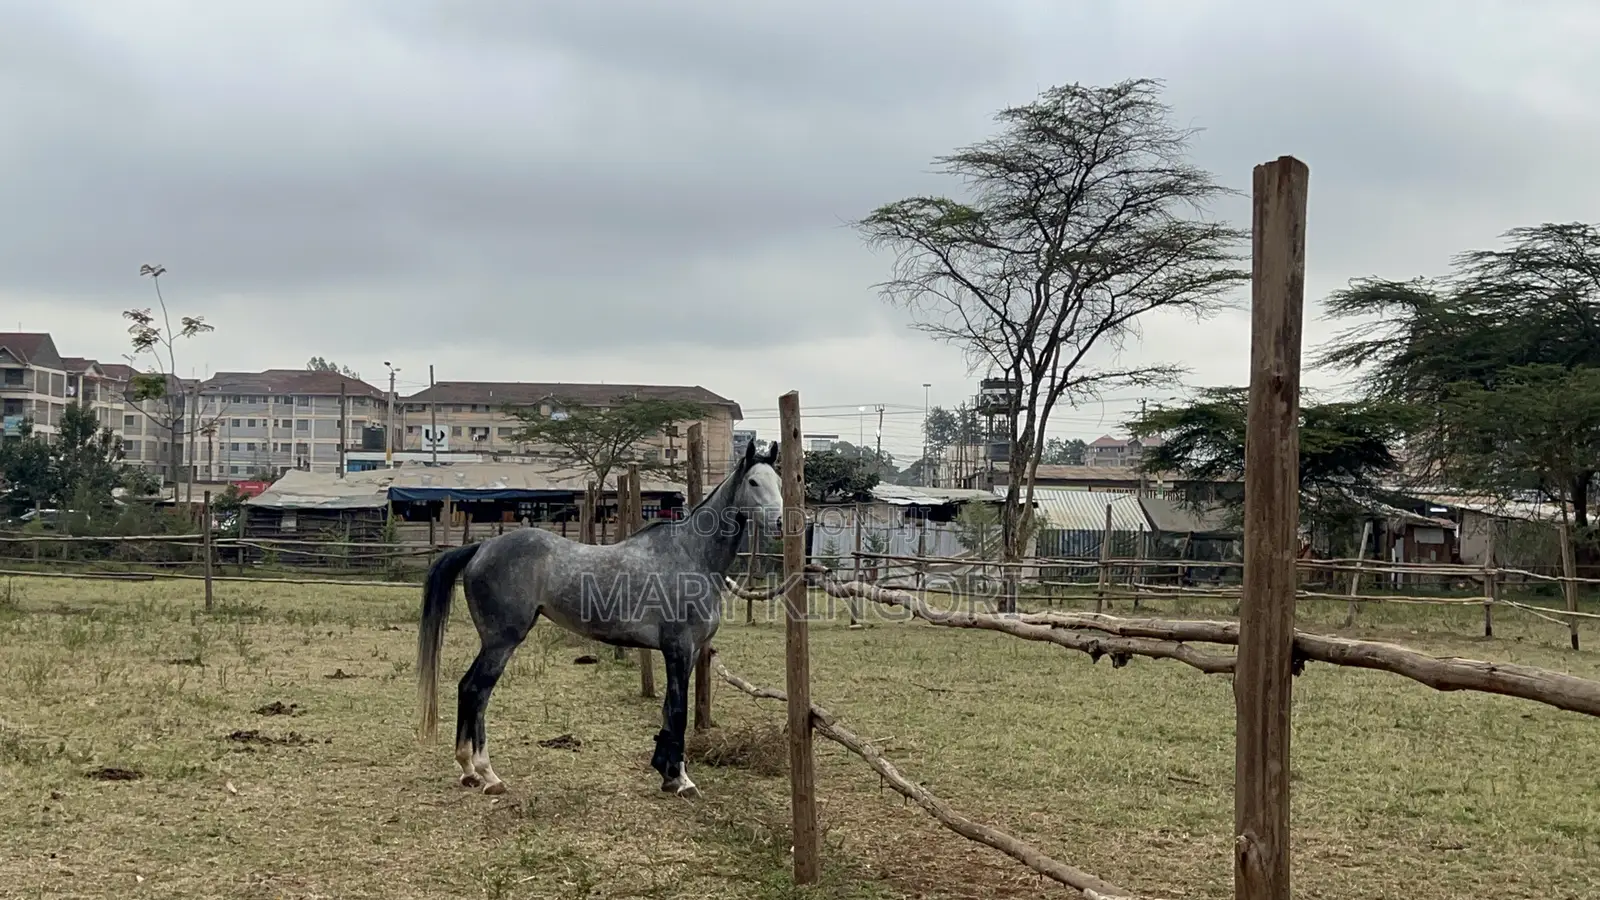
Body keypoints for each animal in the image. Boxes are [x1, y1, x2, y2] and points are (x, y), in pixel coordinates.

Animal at [415, 439, 785, 799]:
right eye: (753, 482)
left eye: (779, 482)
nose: (781, 524)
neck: (692, 555)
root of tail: (481, 548)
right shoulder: (678, 648)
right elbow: (679, 712)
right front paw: (682, 781)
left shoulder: (690, 652)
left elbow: (668, 710)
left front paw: (666, 774)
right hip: (501, 641)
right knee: (477, 690)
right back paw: (488, 774)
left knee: (467, 687)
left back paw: (468, 770)